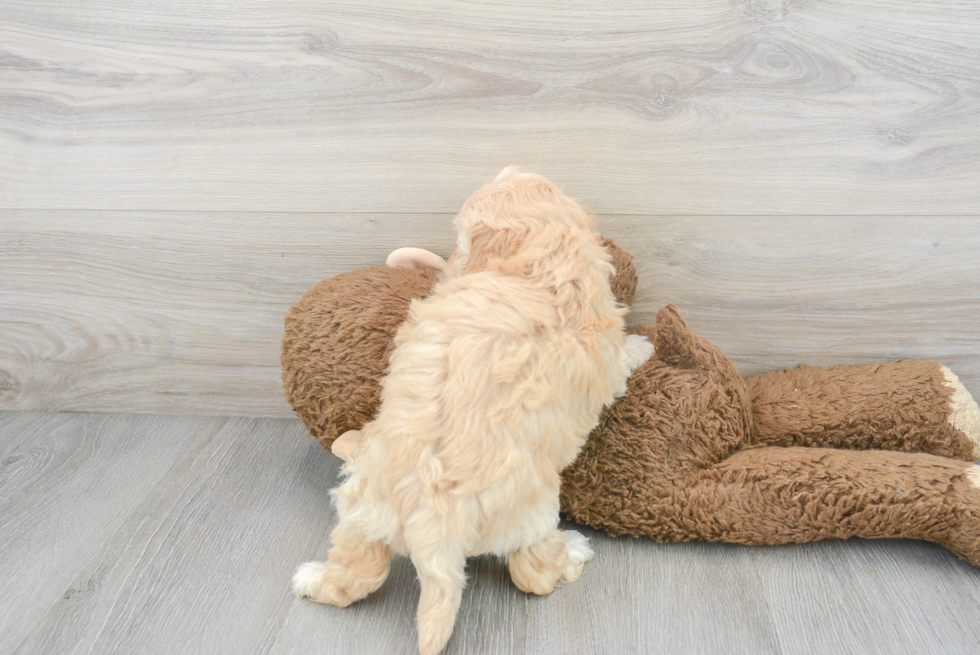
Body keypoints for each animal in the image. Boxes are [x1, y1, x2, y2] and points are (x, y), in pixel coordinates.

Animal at [294, 167, 656, 652]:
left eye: (462, 239)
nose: (453, 260)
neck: (540, 266)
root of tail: (432, 524)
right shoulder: (603, 354)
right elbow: (622, 359)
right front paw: (642, 346)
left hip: (362, 509)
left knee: (357, 572)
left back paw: (312, 579)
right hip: (532, 513)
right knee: (532, 574)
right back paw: (572, 553)